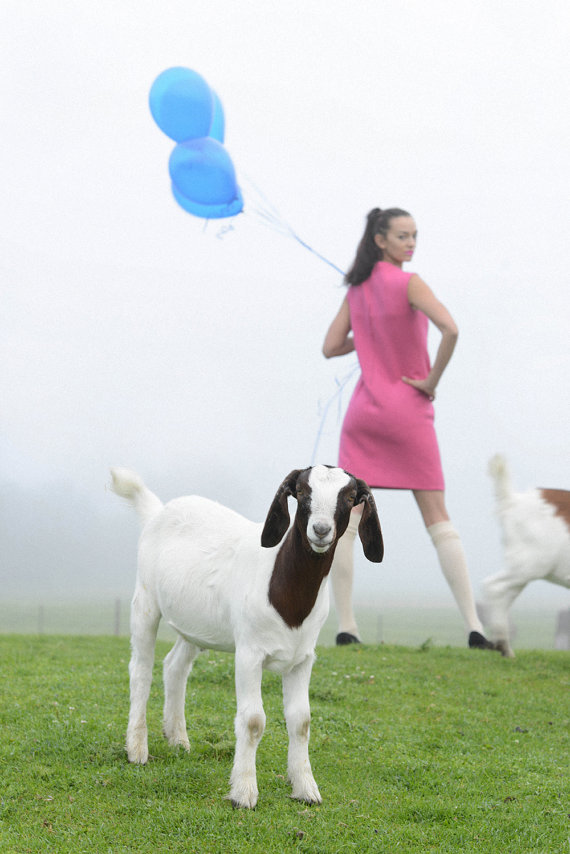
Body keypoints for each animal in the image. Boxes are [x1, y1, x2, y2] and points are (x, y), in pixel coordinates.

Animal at [111, 464, 383, 808]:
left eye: (349, 497)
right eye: (302, 492)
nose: (321, 530)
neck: (286, 590)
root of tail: (157, 511)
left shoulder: (303, 659)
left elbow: (301, 721)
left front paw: (306, 789)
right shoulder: (249, 653)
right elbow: (253, 720)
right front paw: (243, 792)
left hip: (196, 625)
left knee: (174, 667)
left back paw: (178, 739)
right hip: (145, 601)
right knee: (141, 670)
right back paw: (137, 748)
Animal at [482, 454, 570, 658]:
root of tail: (512, 500)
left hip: (522, 570)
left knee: (504, 596)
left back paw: (504, 646)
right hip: (528, 565)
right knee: (493, 587)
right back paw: (503, 645)